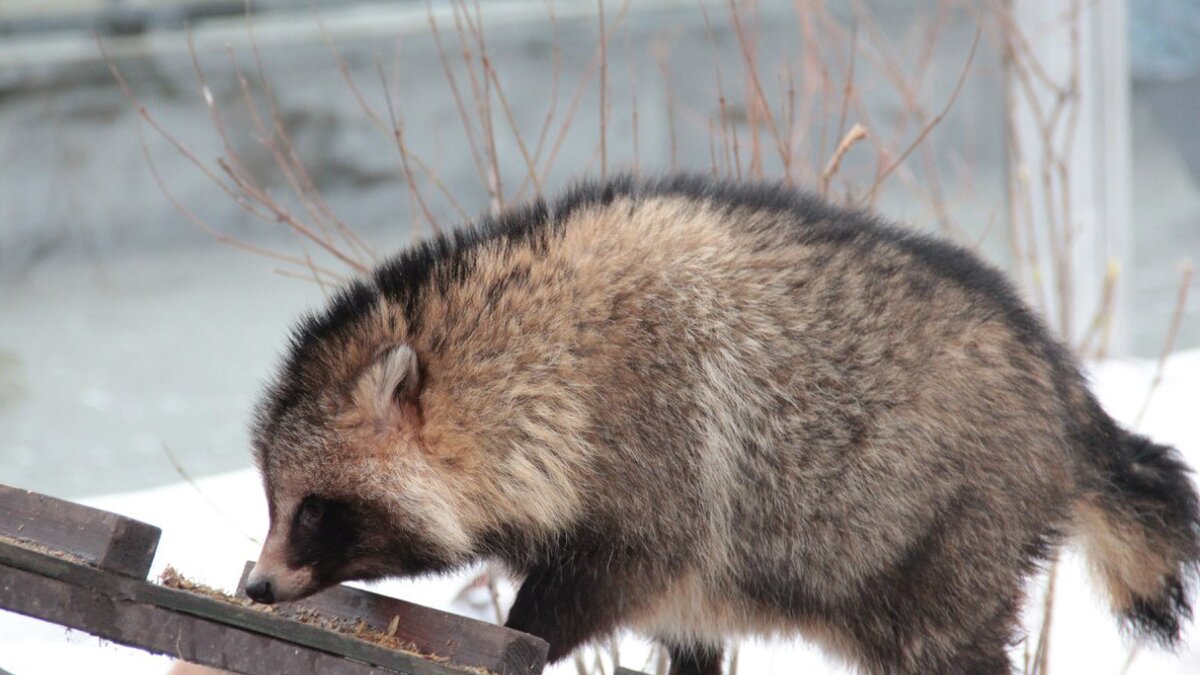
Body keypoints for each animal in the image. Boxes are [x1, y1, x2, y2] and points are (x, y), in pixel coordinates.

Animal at [246, 174, 1200, 672]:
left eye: (313, 510)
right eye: (274, 503)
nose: (254, 585)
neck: (543, 365)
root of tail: (1066, 390)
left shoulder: (661, 468)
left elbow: (580, 594)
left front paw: (528, 635)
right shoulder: (685, 589)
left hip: (946, 541)